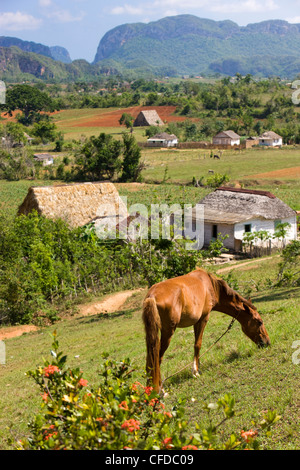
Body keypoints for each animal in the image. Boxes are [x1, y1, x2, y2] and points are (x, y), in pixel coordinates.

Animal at [142, 268, 270, 392]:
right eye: (259, 322)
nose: (267, 342)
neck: (210, 286)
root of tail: (151, 296)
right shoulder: (203, 319)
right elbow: (197, 344)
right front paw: (196, 371)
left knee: (150, 358)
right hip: (168, 332)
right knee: (158, 357)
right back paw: (160, 389)